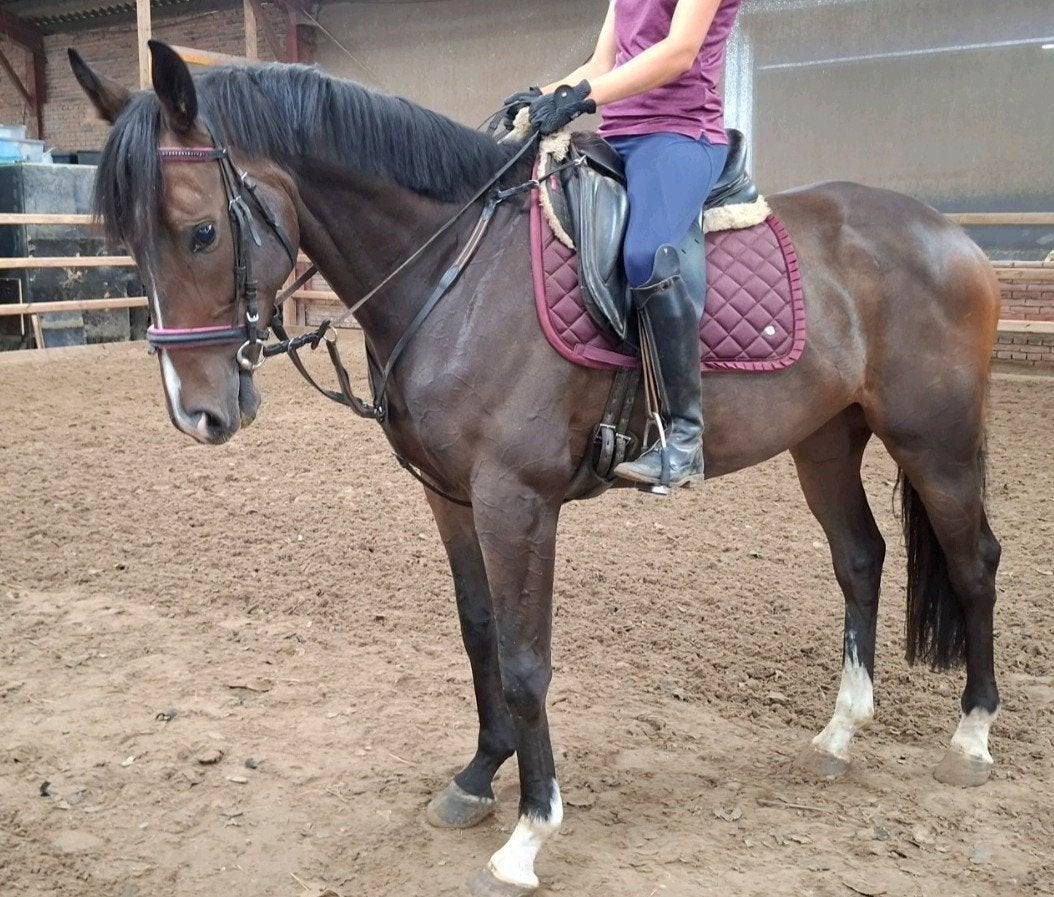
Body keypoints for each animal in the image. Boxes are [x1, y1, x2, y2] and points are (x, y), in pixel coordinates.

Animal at [70, 41, 1003, 897]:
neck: (454, 269)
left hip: (935, 440)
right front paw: (479, 776)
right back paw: (840, 732)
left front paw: (529, 832)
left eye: (201, 231)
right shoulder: (450, 495)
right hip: (825, 438)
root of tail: (950, 235)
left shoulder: (516, 500)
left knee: (974, 563)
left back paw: (970, 738)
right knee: (860, 557)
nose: (198, 413)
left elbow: (526, 661)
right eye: (127, 242)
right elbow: (480, 632)